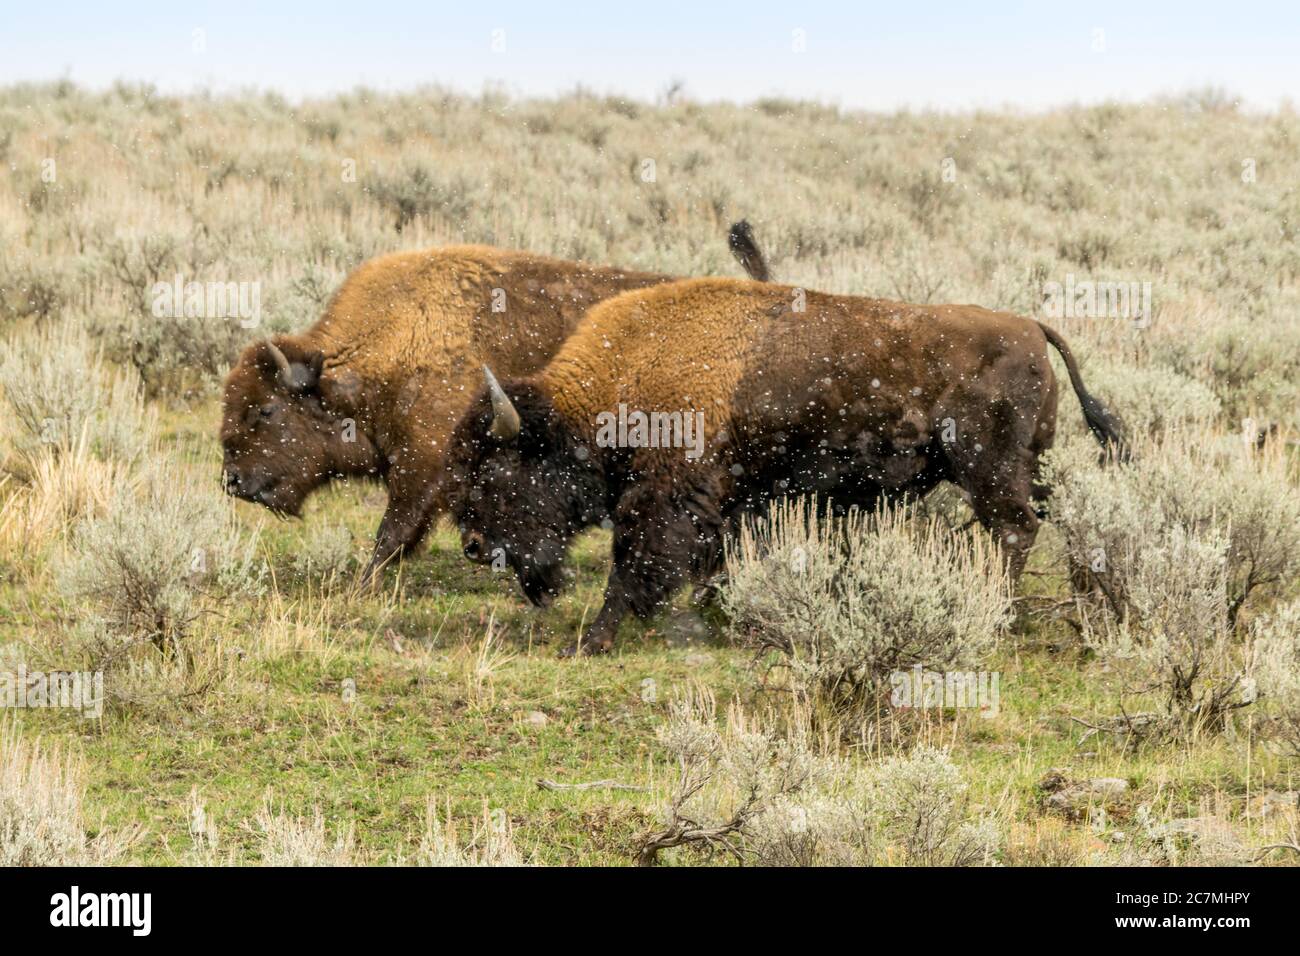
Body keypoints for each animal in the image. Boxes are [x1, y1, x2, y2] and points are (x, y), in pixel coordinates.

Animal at [444, 273, 1118, 655]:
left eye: (498, 470)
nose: (474, 546)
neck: (627, 374)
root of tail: (1029, 327)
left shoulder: (663, 498)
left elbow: (632, 564)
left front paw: (593, 642)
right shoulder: (727, 500)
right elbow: (711, 558)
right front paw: (720, 615)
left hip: (989, 474)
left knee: (1015, 530)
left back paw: (998, 613)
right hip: (1028, 469)